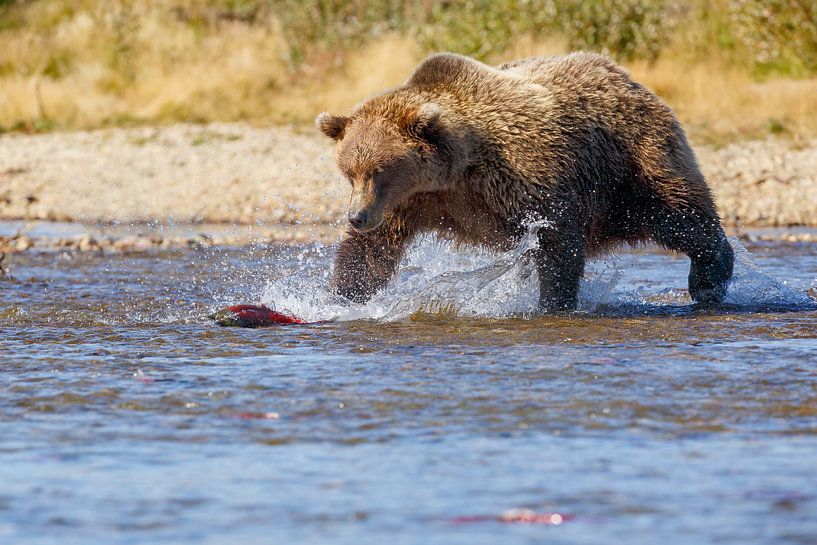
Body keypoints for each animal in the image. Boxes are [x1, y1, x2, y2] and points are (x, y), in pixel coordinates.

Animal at [316, 52, 734, 311]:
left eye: (378, 170)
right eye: (349, 172)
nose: (356, 217)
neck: (458, 172)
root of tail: (627, 78)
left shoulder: (525, 176)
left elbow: (556, 240)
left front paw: (553, 302)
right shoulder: (412, 201)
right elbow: (370, 253)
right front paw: (340, 297)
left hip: (631, 166)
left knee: (681, 216)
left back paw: (709, 280)